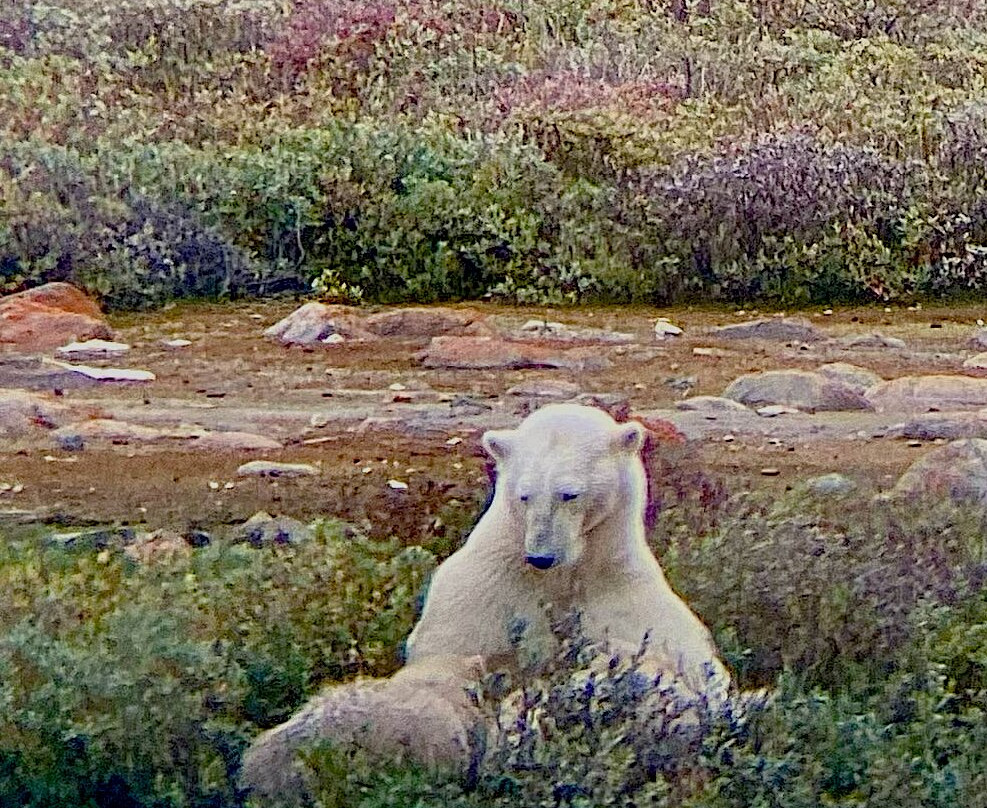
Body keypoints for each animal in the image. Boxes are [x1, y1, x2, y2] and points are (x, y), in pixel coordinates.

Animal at [240, 403, 728, 802]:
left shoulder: (624, 594)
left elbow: (686, 670)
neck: (567, 571)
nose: (541, 555)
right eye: (524, 494)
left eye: (569, 493)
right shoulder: (489, 582)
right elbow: (452, 653)